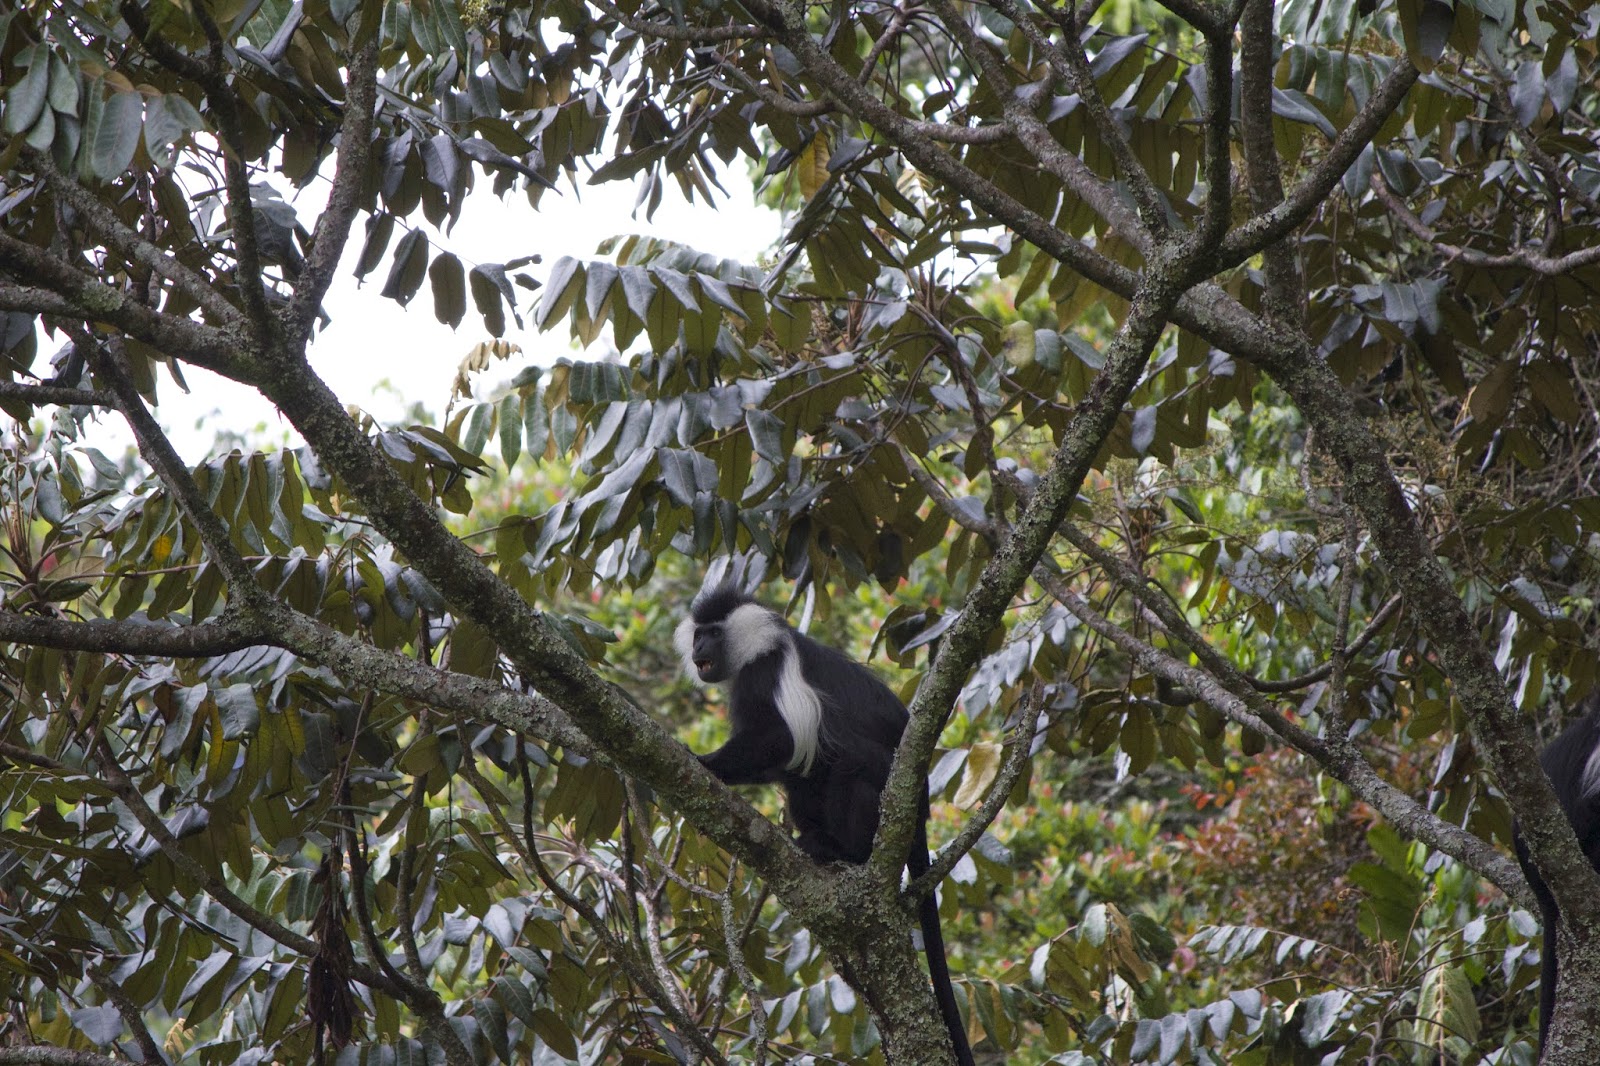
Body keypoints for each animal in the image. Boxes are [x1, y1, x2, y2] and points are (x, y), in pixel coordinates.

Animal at [675, 585, 976, 1066]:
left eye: (714, 633)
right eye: (699, 633)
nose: (698, 647)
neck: (760, 646)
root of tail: (921, 807)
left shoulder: (767, 675)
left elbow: (780, 739)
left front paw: (705, 763)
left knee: (851, 767)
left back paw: (843, 852)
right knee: (807, 780)